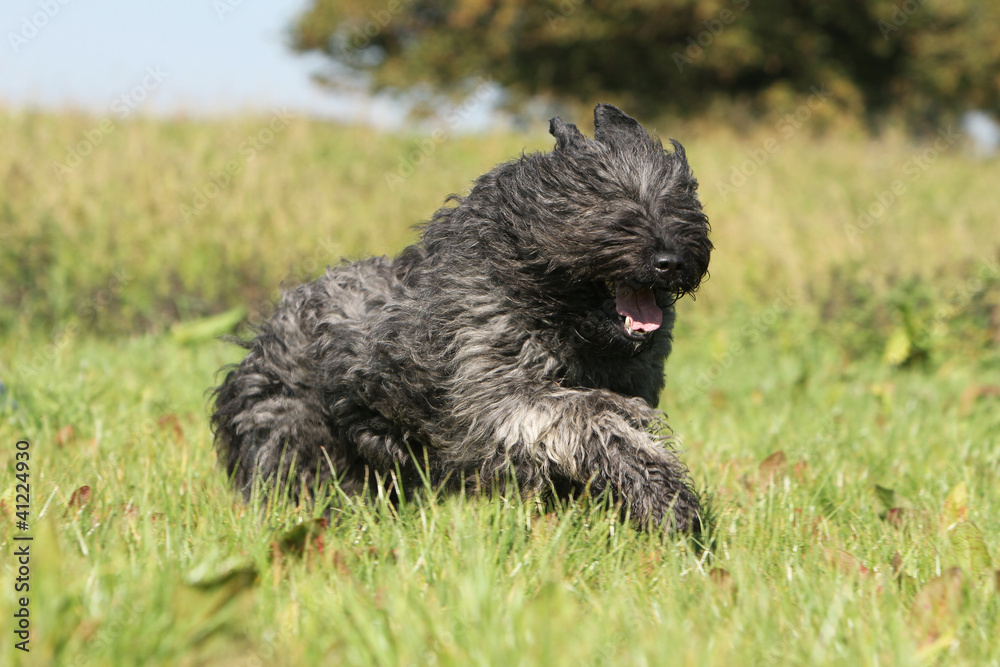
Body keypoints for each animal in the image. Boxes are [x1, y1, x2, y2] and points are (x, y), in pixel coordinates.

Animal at [211, 104, 712, 532]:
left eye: (681, 200)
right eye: (612, 200)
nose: (671, 261)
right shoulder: (496, 393)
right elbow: (586, 416)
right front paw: (665, 494)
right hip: (295, 432)